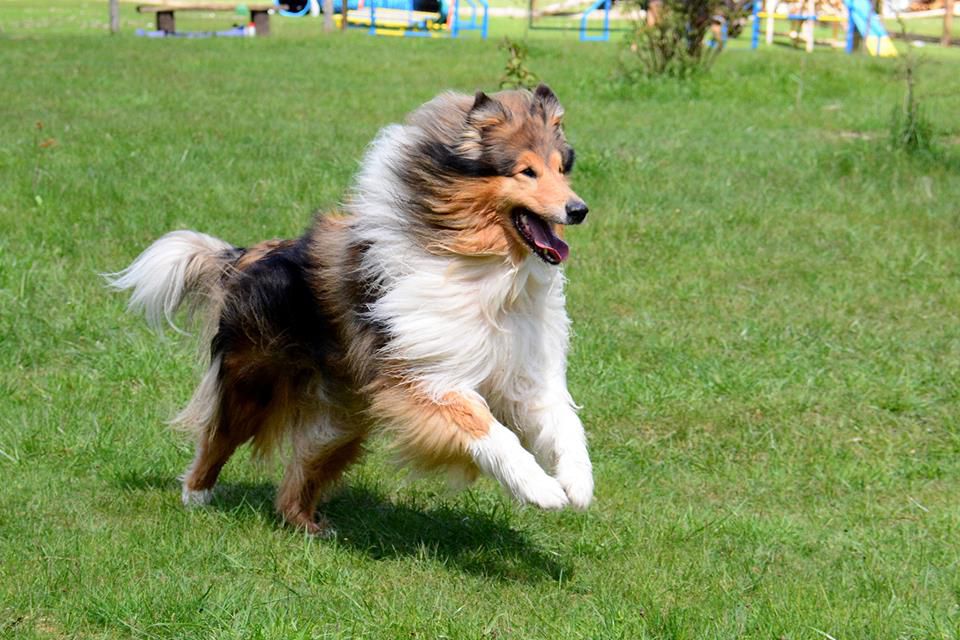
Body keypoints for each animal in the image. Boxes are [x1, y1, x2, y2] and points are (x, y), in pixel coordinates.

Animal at [110, 85, 592, 536]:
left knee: (297, 475)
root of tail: (247, 256)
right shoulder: (424, 378)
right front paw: (542, 489)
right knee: (216, 437)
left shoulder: (525, 372)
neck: (488, 268)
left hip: (339, 420)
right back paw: (197, 497)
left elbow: (565, 422)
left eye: (561, 167)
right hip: (254, 384)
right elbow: (489, 429)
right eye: (526, 171)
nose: (579, 209)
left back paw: (308, 526)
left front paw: (579, 484)